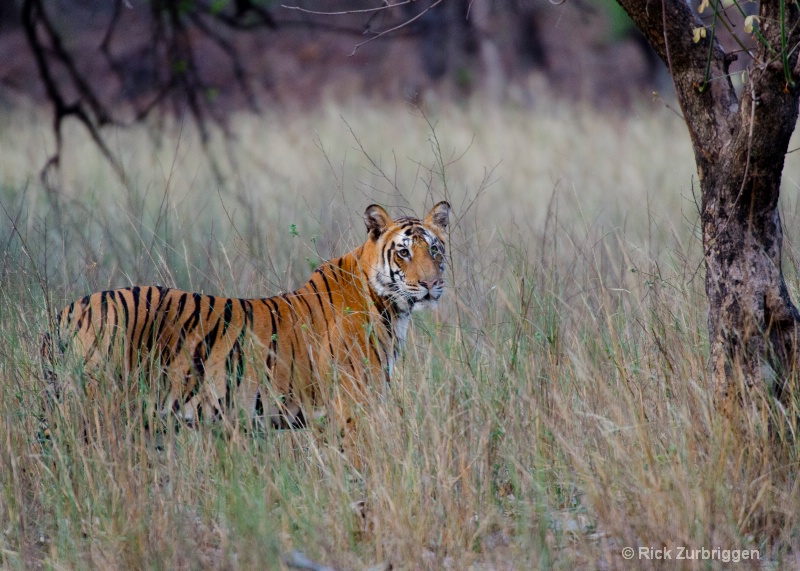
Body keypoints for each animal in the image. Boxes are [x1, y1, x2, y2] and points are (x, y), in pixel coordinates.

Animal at [40, 201, 450, 456]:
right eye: (403, 252)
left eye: (435, 250)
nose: (431, 284)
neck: (394, 309)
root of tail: (65, 313)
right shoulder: (351, 408)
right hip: (93, 412)